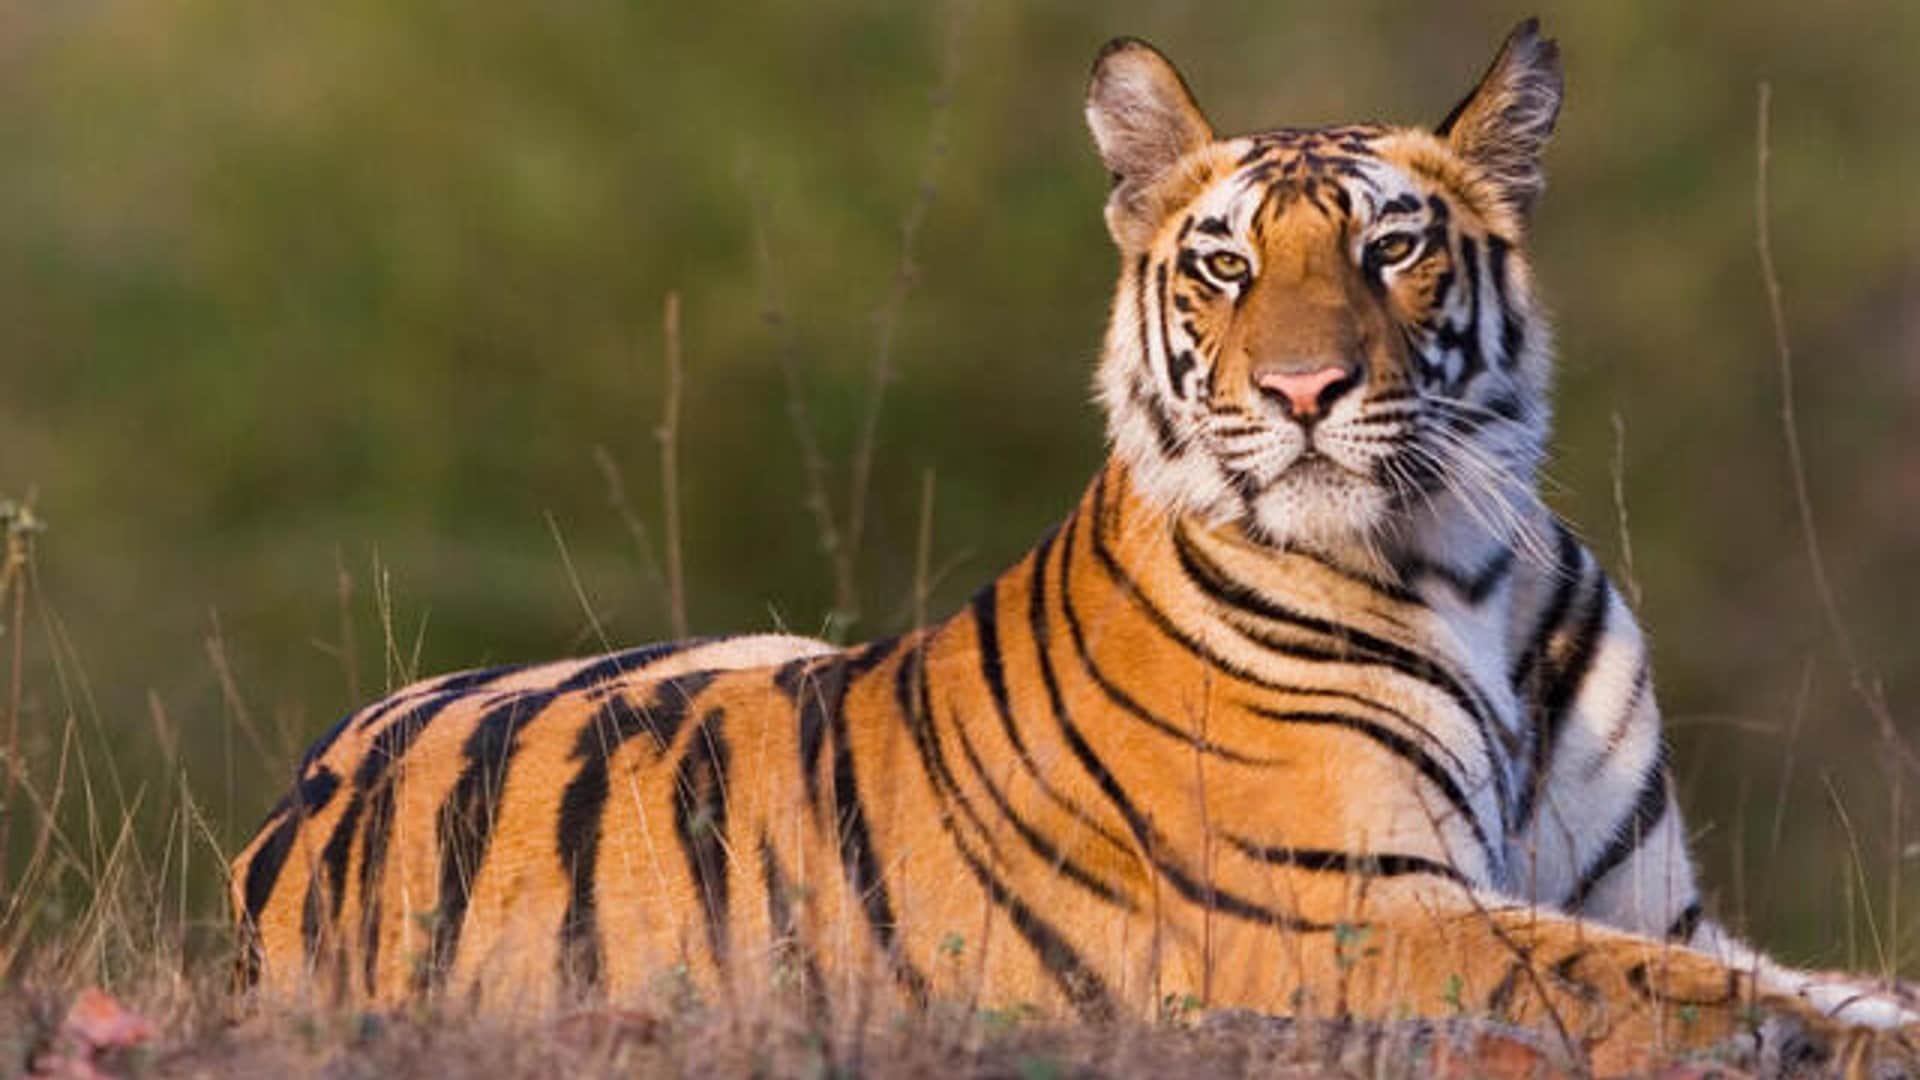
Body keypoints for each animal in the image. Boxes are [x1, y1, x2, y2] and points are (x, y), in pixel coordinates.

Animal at [232, 20, 1918, 1072]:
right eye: (1227, 267)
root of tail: (278, 837)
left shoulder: (1646, 897)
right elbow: (1666, 993)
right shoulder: (1348, 909)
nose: (1304, 391)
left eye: (1393, 248)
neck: (1467, 568)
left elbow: (1774, 970)